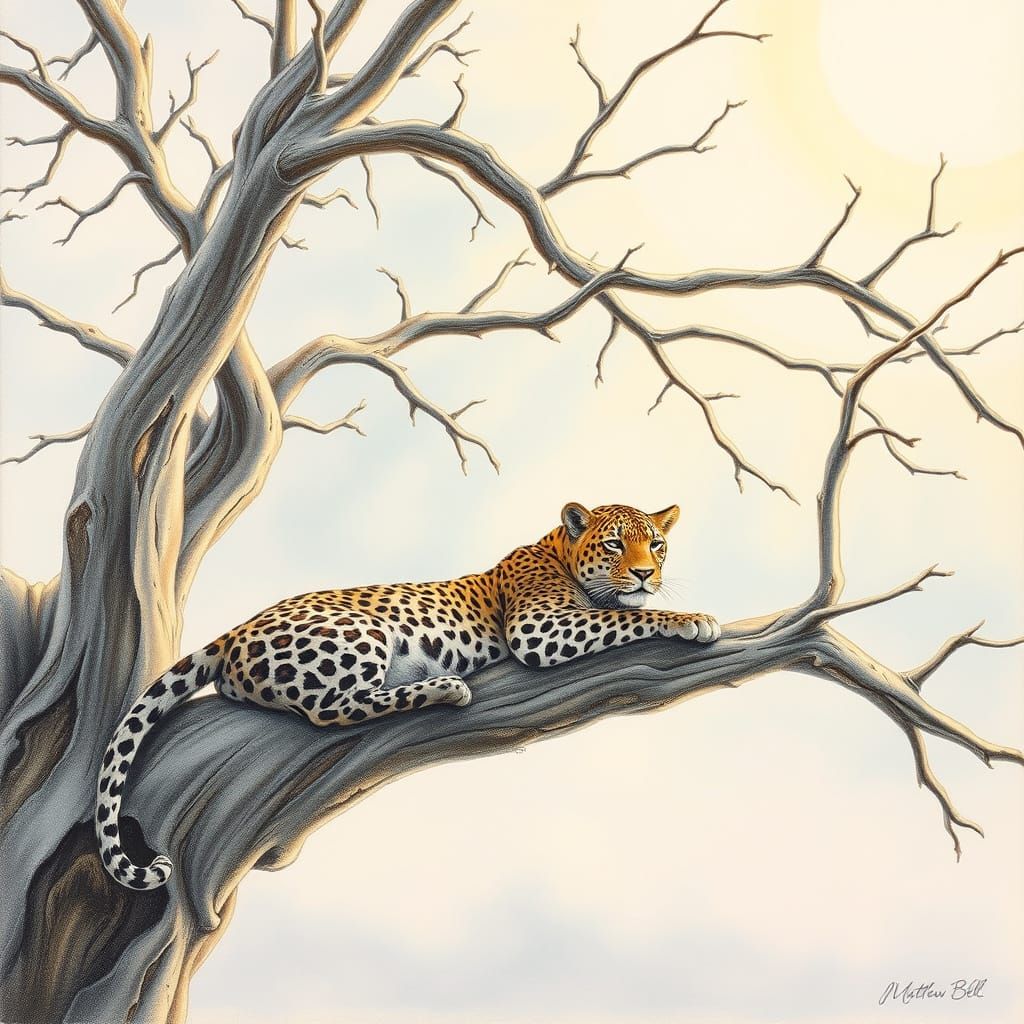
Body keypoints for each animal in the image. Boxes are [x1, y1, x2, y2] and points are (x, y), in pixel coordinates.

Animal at [96, 501, 720, 890]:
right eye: (614, 544)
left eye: (657, 545)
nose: (644, 574)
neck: (556, 555)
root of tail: (233, 633)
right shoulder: (540, 628)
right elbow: (624, 619)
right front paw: (693, 618)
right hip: (360, 632)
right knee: (332, 709)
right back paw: (445, 687)